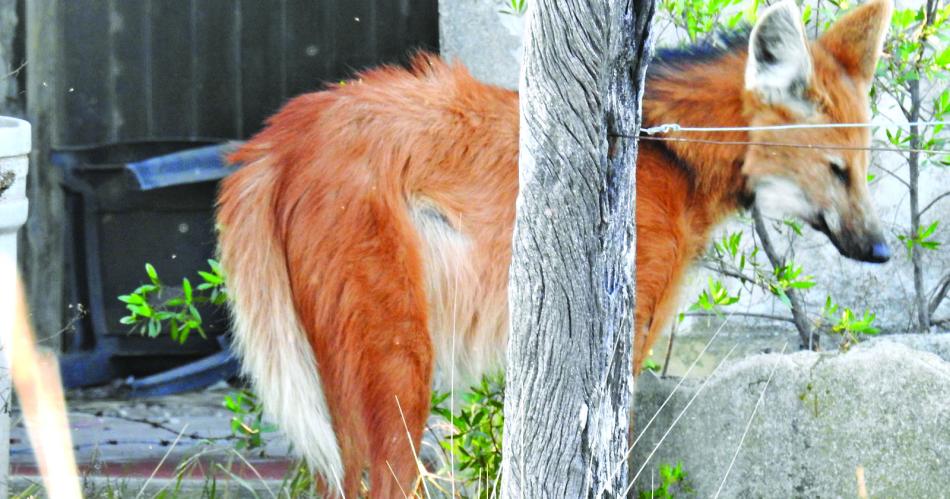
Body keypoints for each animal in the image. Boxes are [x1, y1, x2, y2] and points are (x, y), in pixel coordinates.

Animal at [216, 0, 892, 496]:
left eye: (863, 167)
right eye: (836, 170)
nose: (882, 251)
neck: (668, 147)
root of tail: (278, 138)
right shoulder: (627, 328)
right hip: (397, 357)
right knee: (385, 473)